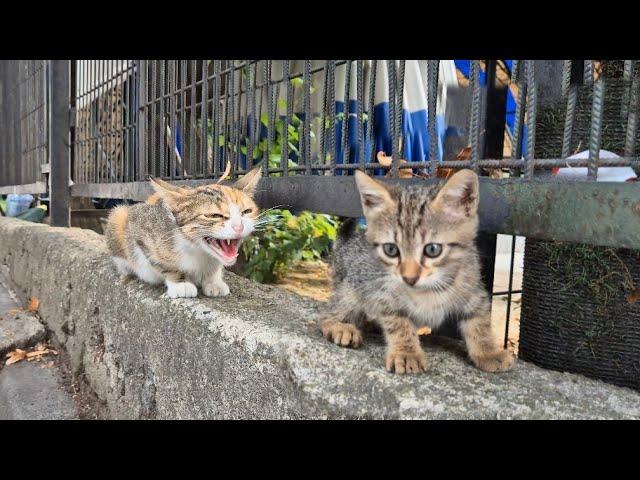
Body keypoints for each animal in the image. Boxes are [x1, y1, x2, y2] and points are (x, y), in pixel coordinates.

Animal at [105, 167, 262, 298]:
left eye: (247, 211)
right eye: (214, 215)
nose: (239, 227)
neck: (197, 250)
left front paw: (213, 281)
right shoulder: (141, 226)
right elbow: (162, 263)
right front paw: (181, 283)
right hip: (118, 217)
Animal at [318, 169, 516, 376]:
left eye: (432, 249)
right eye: (391, 249)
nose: (409, 278)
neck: (428, 289)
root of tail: (346, 245)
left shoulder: (473, 288)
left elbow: (479, 320)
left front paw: (488, 351)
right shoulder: (384, 293)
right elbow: (399, 323)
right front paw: (406, 353)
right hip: (351, 291)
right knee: (326, 313)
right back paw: (340, 327)